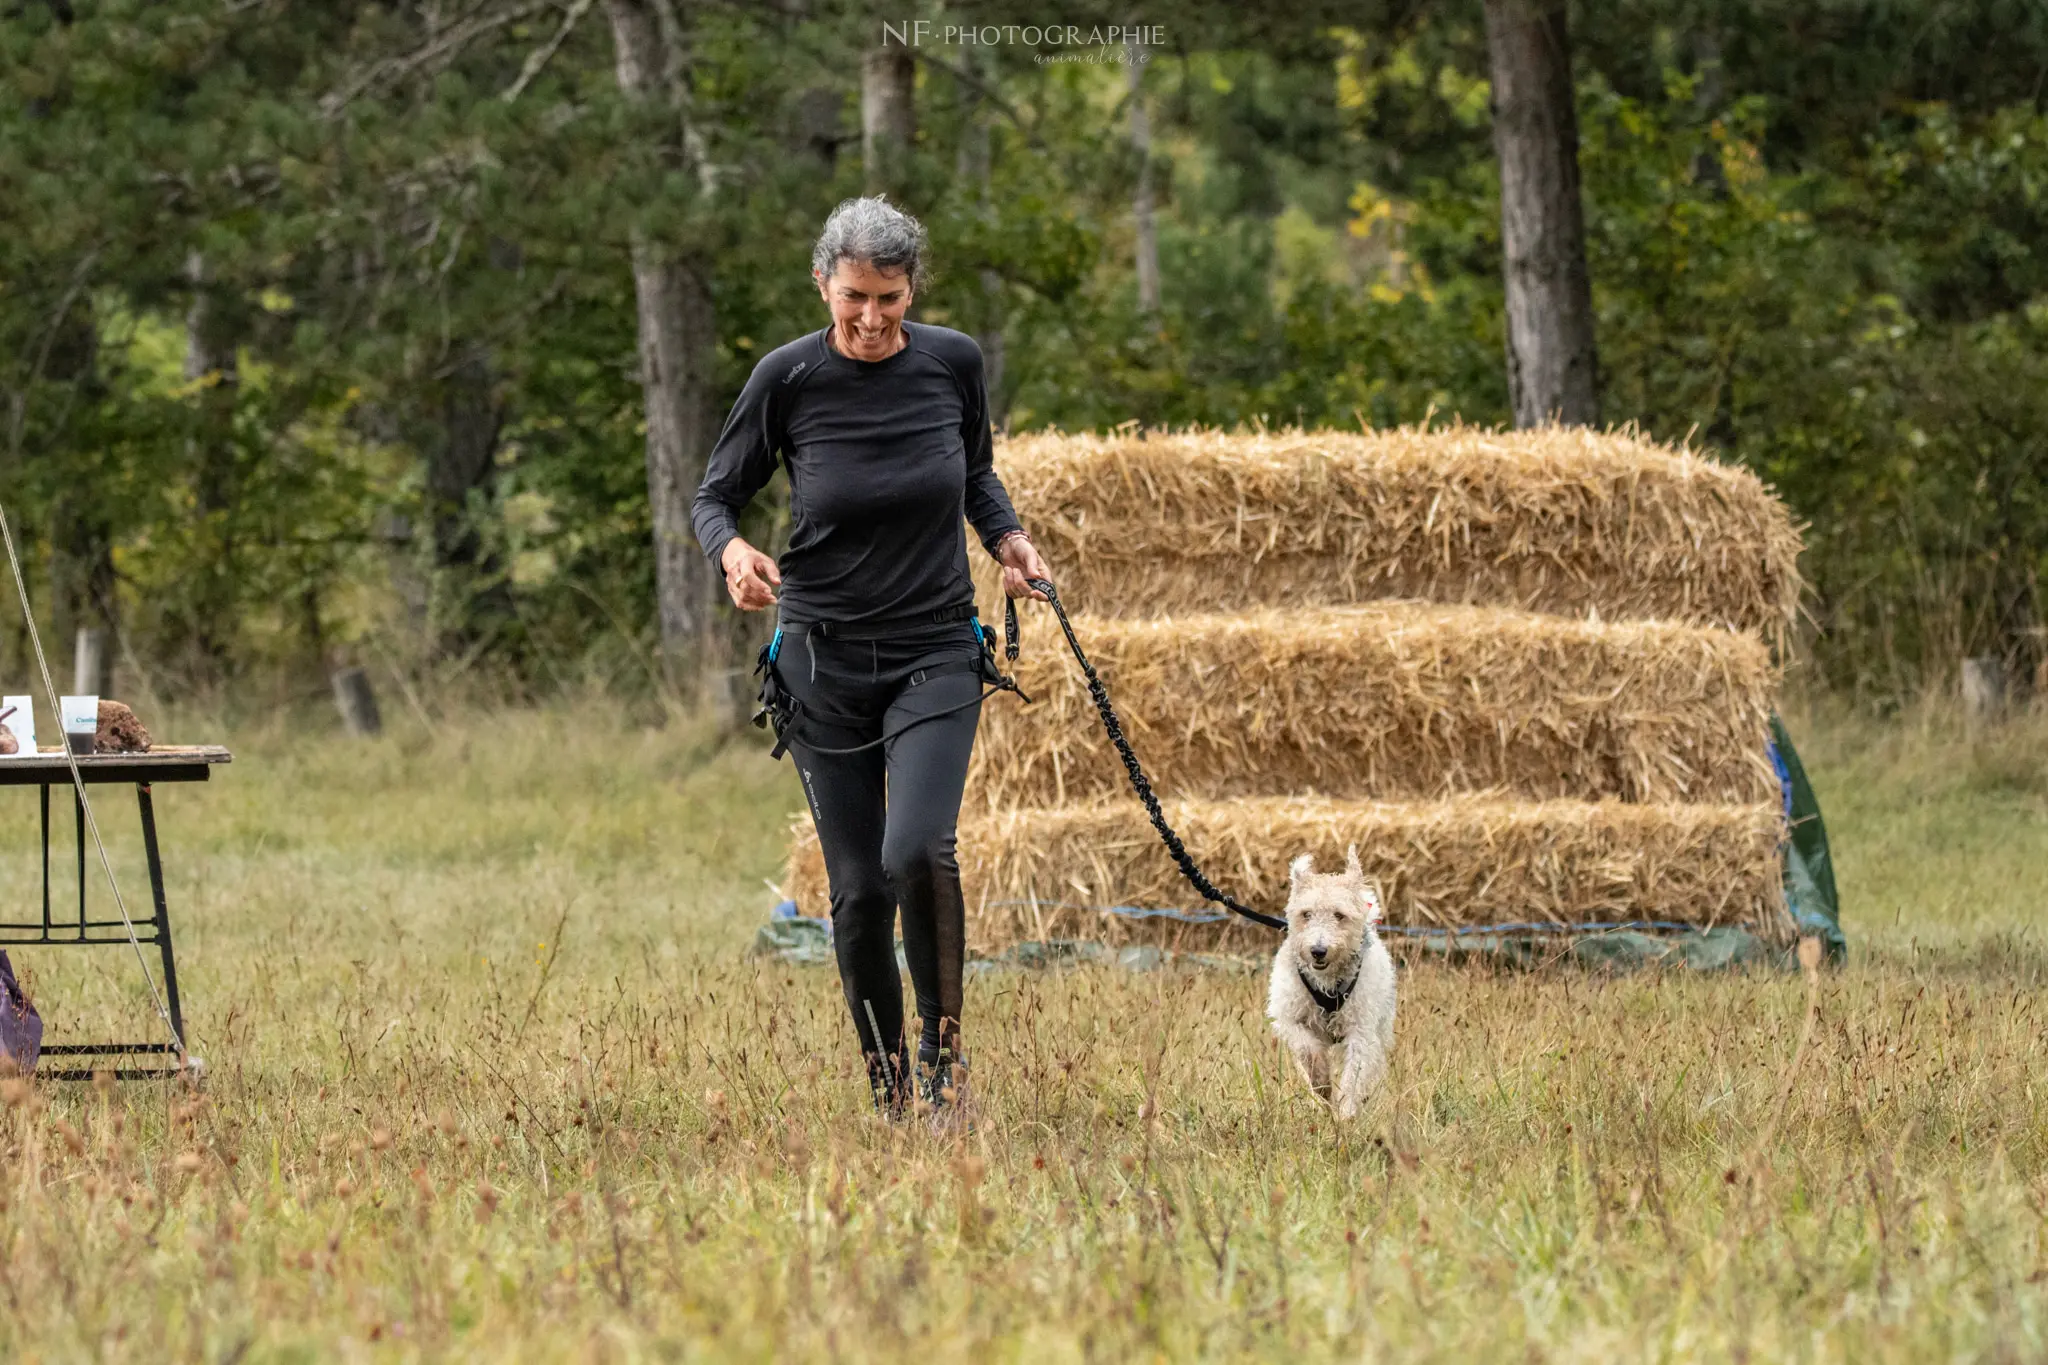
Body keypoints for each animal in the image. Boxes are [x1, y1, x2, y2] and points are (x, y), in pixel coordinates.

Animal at [1253, 843, 1400, 1121]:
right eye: (1306, 914)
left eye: (1339, 915)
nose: (1318, 951)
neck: (1327, 982)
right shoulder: (1289, 1018)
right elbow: (1308, 1050)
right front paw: (1322, 1083)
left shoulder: (1361, 1030)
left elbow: (1354, 1073)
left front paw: (1346, 1113)